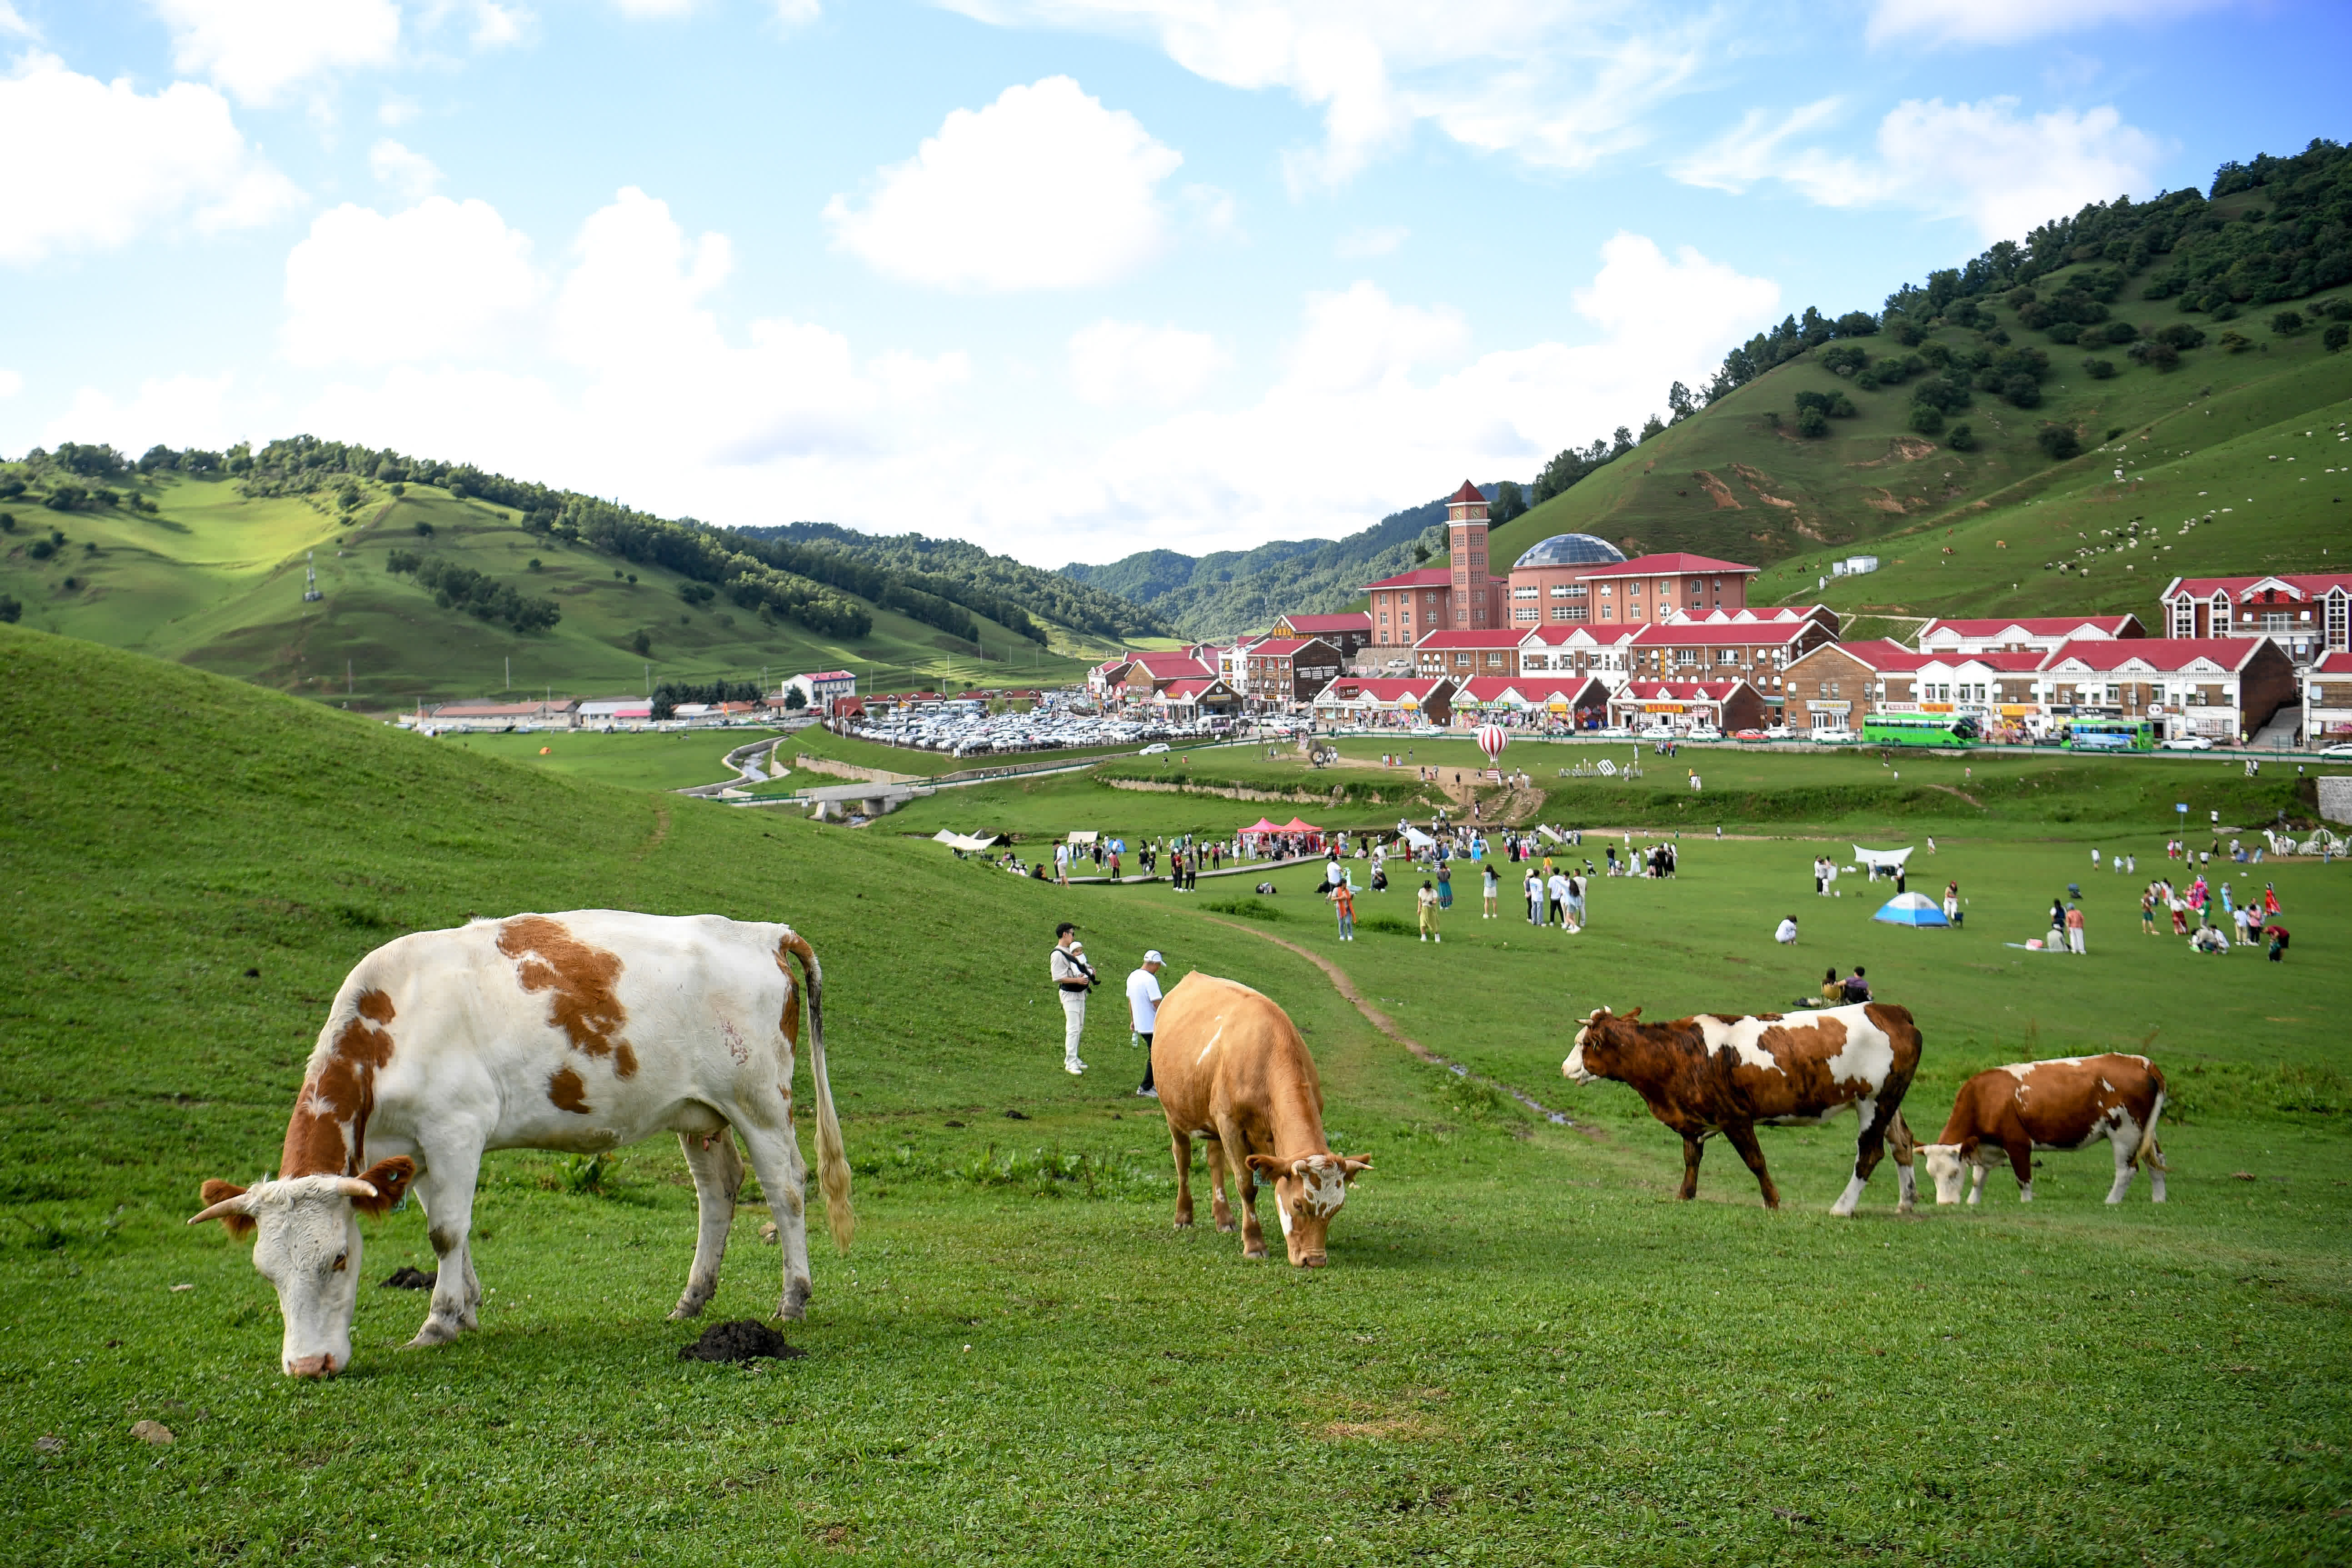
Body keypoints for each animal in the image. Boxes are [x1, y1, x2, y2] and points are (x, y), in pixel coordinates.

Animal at [190, 912, 856, 1382]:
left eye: (337, 1259)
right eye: (265, 1271)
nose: (309, 1367)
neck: (391, 1023)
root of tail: (762, 933)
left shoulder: (456, 1128)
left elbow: (446, 1232)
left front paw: (438, 1323)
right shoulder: (417, 1150)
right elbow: (447, 1227)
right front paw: (468, 1307)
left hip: (759, 1102)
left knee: (786, 1188)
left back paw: (793, 1298)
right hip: (700, 1113)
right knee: (718, 1190)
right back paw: (691, 1301)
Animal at [1148, 973, 1373, 1269]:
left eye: (1337, 1208)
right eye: (1299, 1205)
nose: (1314, 1260)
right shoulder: (1230, 1125)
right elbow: (1246, 1184)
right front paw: (1254, 1244)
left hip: (1212, 1121)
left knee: (1215, 1160)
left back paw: (1224, 1217)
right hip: (1174, 1112)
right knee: (1182, 1158)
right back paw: (1184, 1216)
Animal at [1552, 1006, 1919, 1213]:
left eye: (1585, 1044)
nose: (1565, 1068)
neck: (1677, 1052)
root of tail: (1891, 1010)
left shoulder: (1735, 1117)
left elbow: (1755, 1161)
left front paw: (1772, 1201)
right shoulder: (1693, 1120)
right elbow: (1691, 1159)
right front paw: (1685, 1195)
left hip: (1873, 1103)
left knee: (1869, 1154)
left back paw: (1841, 1208)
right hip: (1888, 1103)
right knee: (1902, 1144)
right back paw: (1906, 1202)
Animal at [1910, 1062, 2164, 1213]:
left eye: (1954, 1173)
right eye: (1931, 1174)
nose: (1945, 1204)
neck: (1985, 1097)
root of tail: (2139, 1062)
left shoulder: (2018, 1144)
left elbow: (2024, 1180)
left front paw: (2026, 1203)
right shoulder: (1984, 1146)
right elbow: (1978, 1179)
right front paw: (1973, 1202)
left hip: (2125, 1133)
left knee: (2127, 1170)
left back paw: (2111, 1202)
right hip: (2145, 1133)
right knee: (2156, 1162)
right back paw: (2159, 1200)